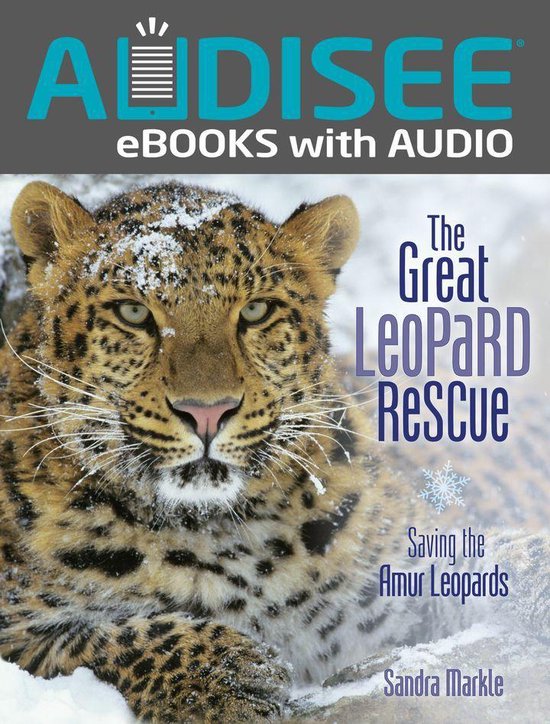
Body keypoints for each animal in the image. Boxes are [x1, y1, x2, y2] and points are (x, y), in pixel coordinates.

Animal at [0, 180, 548, 722]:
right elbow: (107, 638)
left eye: (256, 310)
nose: (207, 412)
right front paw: (224, 682)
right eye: (132, 312)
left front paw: (537, 576)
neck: (222, 533)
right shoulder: (16, 627)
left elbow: (476, 558)